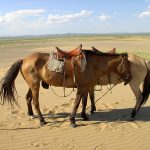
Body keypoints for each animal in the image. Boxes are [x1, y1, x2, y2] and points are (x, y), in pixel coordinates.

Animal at [0, 44, 131, 127]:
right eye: (127, 65)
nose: (130, 78)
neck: (92, 65)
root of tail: (24, 59)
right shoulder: (82, 87)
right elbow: (77, 103)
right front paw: (72, 120)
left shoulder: (86, 87)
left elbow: (84, 102)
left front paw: (84, 116)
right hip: (35, 85)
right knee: (35, 102)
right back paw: (42, 120)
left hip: (32, 85)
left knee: (28, 98)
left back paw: (31, 114)